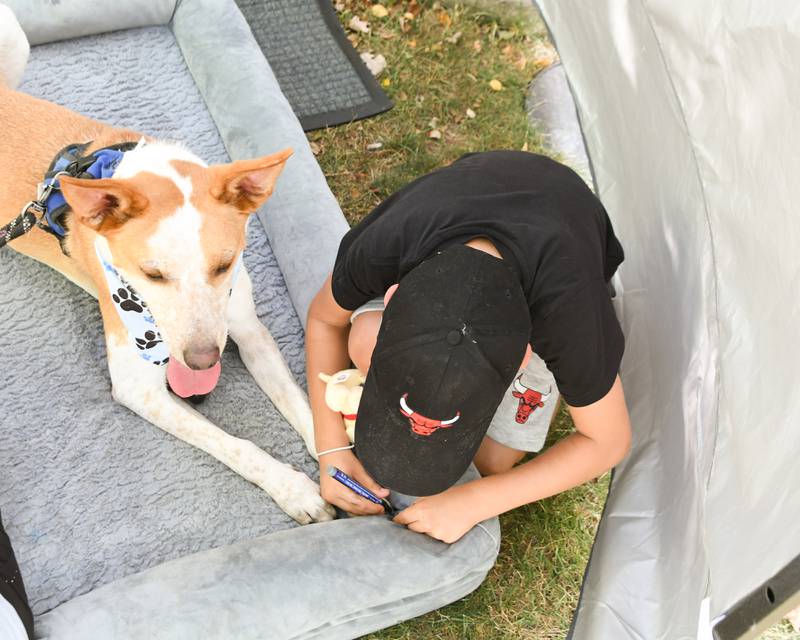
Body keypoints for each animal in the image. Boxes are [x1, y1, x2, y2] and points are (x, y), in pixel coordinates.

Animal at [0, 6, 332, 524]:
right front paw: (292, 488)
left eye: (224, 265)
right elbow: (236, 445)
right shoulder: (138, 386)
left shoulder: (249, 330)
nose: (203, 361)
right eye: (151, 274)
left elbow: (300, 405)